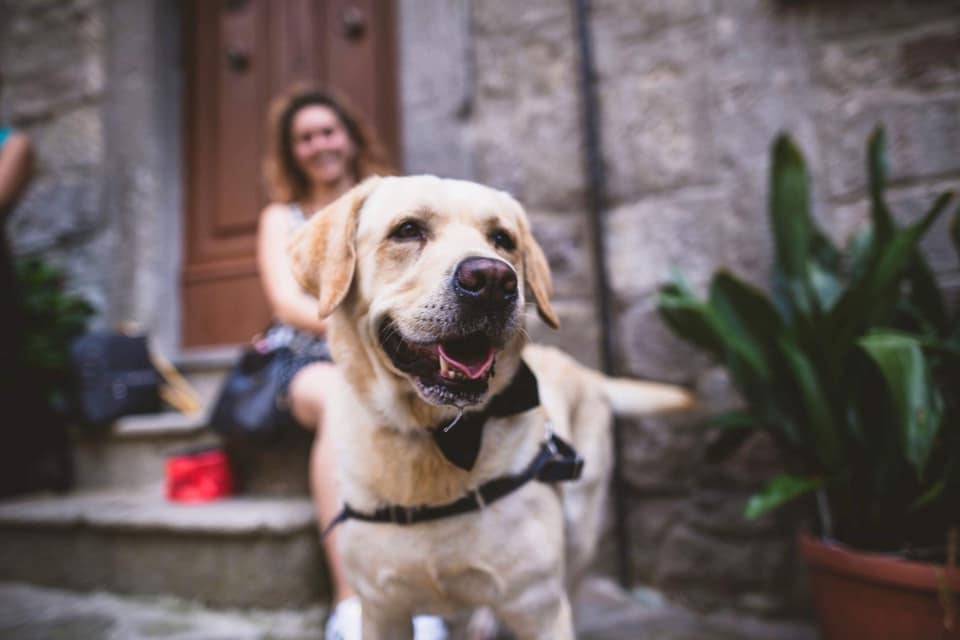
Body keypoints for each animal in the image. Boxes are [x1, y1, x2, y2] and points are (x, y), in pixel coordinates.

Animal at [288, 176, 692, 640]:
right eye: (407, 230)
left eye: (502, 239)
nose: (493, 279)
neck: (438, 438)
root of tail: (585, 371)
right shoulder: (381, 608)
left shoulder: (539, 608)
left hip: (580, 528)